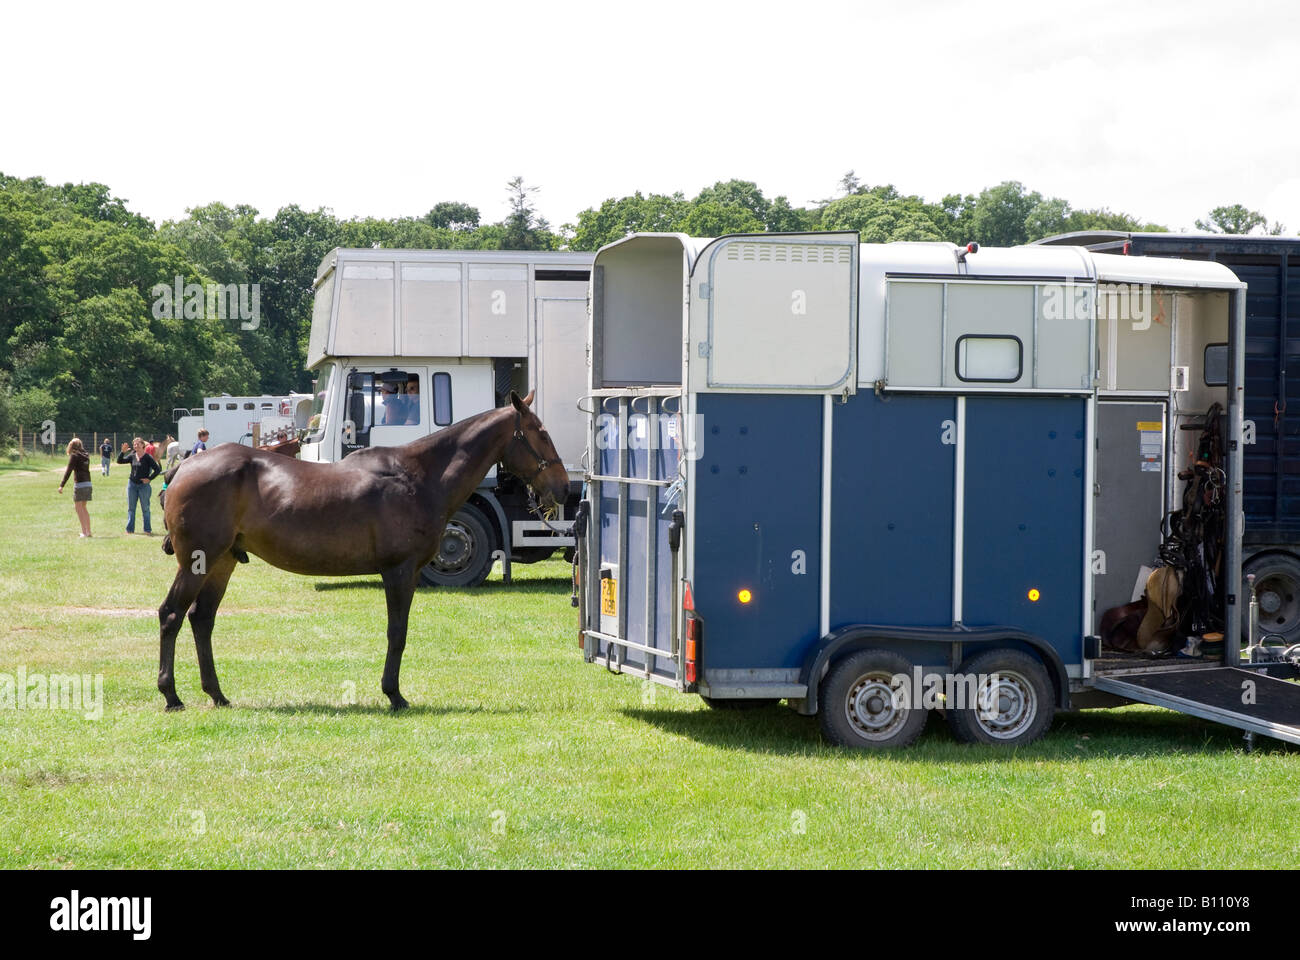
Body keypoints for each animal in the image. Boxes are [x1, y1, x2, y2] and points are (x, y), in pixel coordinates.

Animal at [156, 391, 568, 712]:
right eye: (542, 434)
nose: (563, 488)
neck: (418, 477)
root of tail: (183, 468)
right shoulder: (399, 571)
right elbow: (397, 632)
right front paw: (394, 695)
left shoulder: (409, 573)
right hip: (197, 561)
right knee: (171, 614)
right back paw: (171, 695)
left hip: (222, 562)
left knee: (202, 619)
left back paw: (217, 694)